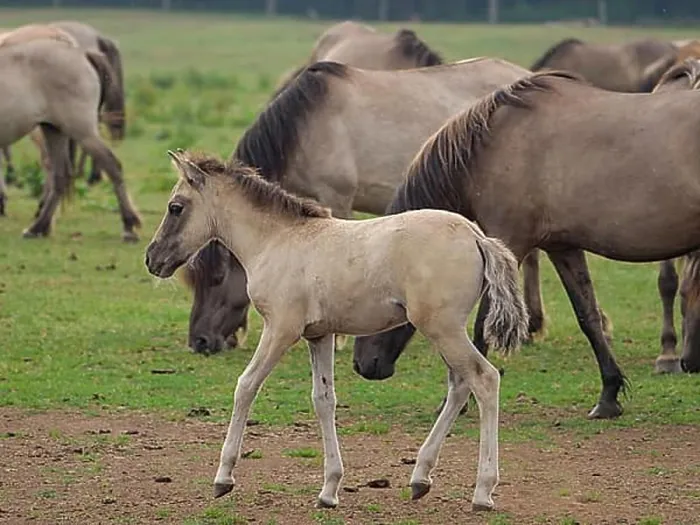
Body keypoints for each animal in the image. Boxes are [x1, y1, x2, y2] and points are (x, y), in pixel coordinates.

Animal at [0, 38, 140, 241]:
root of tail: (83, 54)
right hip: (54, 130)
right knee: (61, 175)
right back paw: (38, 227)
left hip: (82, 132)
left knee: (112, 166)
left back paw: (129, 227)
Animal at [145, 149, 529, 512]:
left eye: (176, 207)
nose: (152, 259)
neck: (277, 240)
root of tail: (477, 236)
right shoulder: (319, 335)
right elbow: (324, 400)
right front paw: (329, 490)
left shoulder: (281, 329)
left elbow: (246, 386)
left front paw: (223, 477)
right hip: (445, 329)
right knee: (460, 385)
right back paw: (420, 478)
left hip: (442, 328)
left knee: (484, 379)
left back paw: (483, 491)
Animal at [353, 69, 700, 419]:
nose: (362, 365)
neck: (491, 146)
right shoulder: (563, 248)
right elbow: (588, 317)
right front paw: (609, 395)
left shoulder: (510, 243)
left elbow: (482, 323)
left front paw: (459, 399)